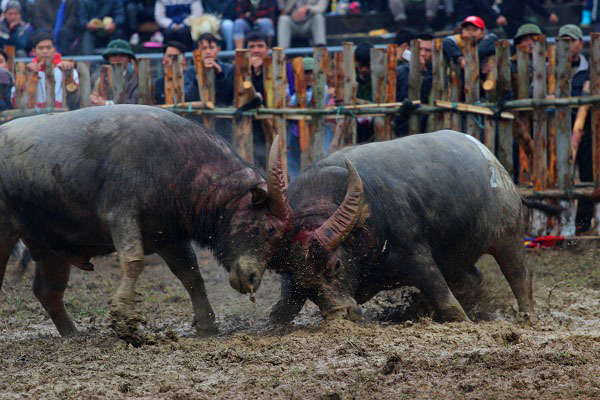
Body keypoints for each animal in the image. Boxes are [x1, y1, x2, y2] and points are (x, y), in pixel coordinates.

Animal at [0, 105, 292, 338]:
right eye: (269, 228)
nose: (253, 278)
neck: (180, 165)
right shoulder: (122, 216)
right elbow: (134, 261)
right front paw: (123, 316)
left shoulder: (168, 237)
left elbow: (191, 275)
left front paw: (207, 324)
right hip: (7, 233)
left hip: (49, 246)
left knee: (47, 291)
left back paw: (73, 334)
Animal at [268, 131, 536, 324]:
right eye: (305, 284)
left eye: (336, 265)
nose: (339, 313)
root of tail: (491, 158)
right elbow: (282, 310)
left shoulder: (419, 259)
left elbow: (449, 303)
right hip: (458, 257)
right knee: (474, 278)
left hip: (509, 236)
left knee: (519, 276)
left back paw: (527, 318)